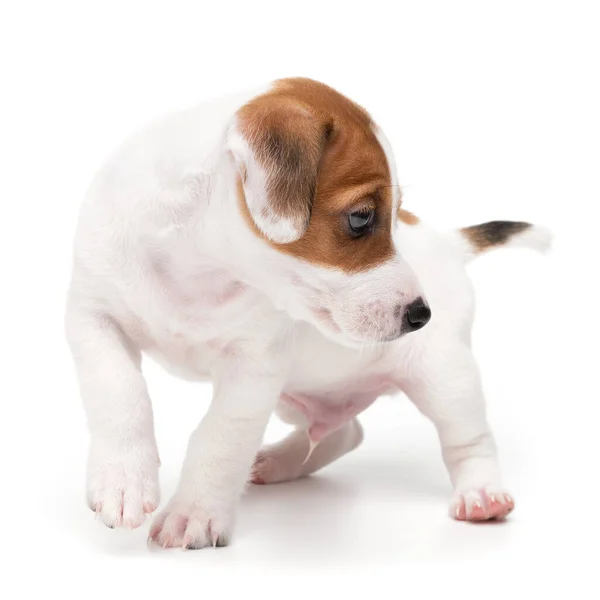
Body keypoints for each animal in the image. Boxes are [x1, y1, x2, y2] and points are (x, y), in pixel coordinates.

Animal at [65, 76, 548, 548]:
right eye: (361, 218)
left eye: (392, 215)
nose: (420, 314)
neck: (198, 268)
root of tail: (447, 242)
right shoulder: (93, 318)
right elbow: (120, 392)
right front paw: (123, 481)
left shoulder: (254, 368)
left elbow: (220, 437)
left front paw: (194, 514)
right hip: (301, 392)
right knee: (344, 431)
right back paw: (279, 462)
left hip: (446, 376)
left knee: (470, 439)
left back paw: (482, 494)